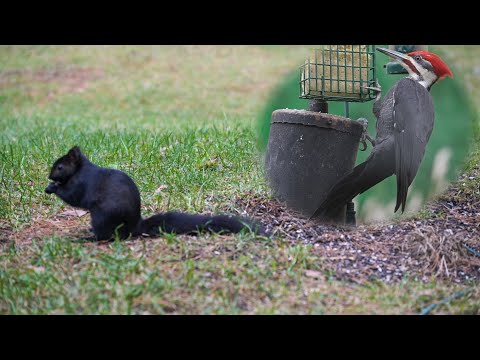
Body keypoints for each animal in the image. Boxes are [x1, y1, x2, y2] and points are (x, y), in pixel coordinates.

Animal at [45, 145, 264, 240]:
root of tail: (135, 226)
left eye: (60, 167)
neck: (80, 169)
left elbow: (73, 196)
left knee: (107, 236)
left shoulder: (82, 183)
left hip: (102, 216)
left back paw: (89, 237)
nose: (49, 176)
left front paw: (53, 188)